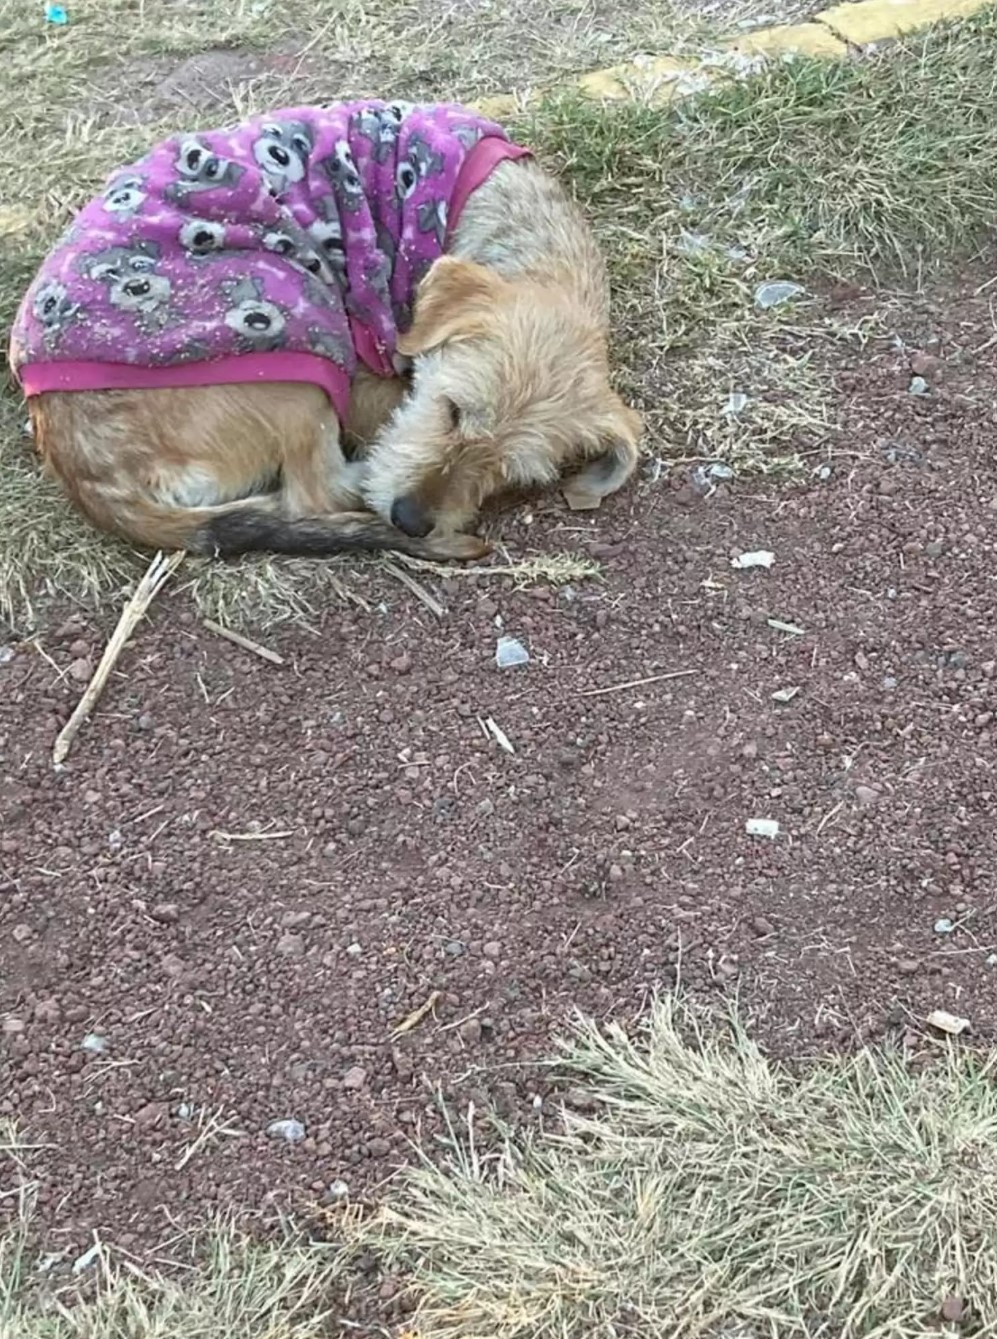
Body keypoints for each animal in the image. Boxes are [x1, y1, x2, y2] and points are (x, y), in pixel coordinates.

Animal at [7, 101, 642, 562]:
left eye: (512, 475)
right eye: (452, 408)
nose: (411, 520)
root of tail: (90, 476)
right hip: (301, 347)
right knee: (314, 492)